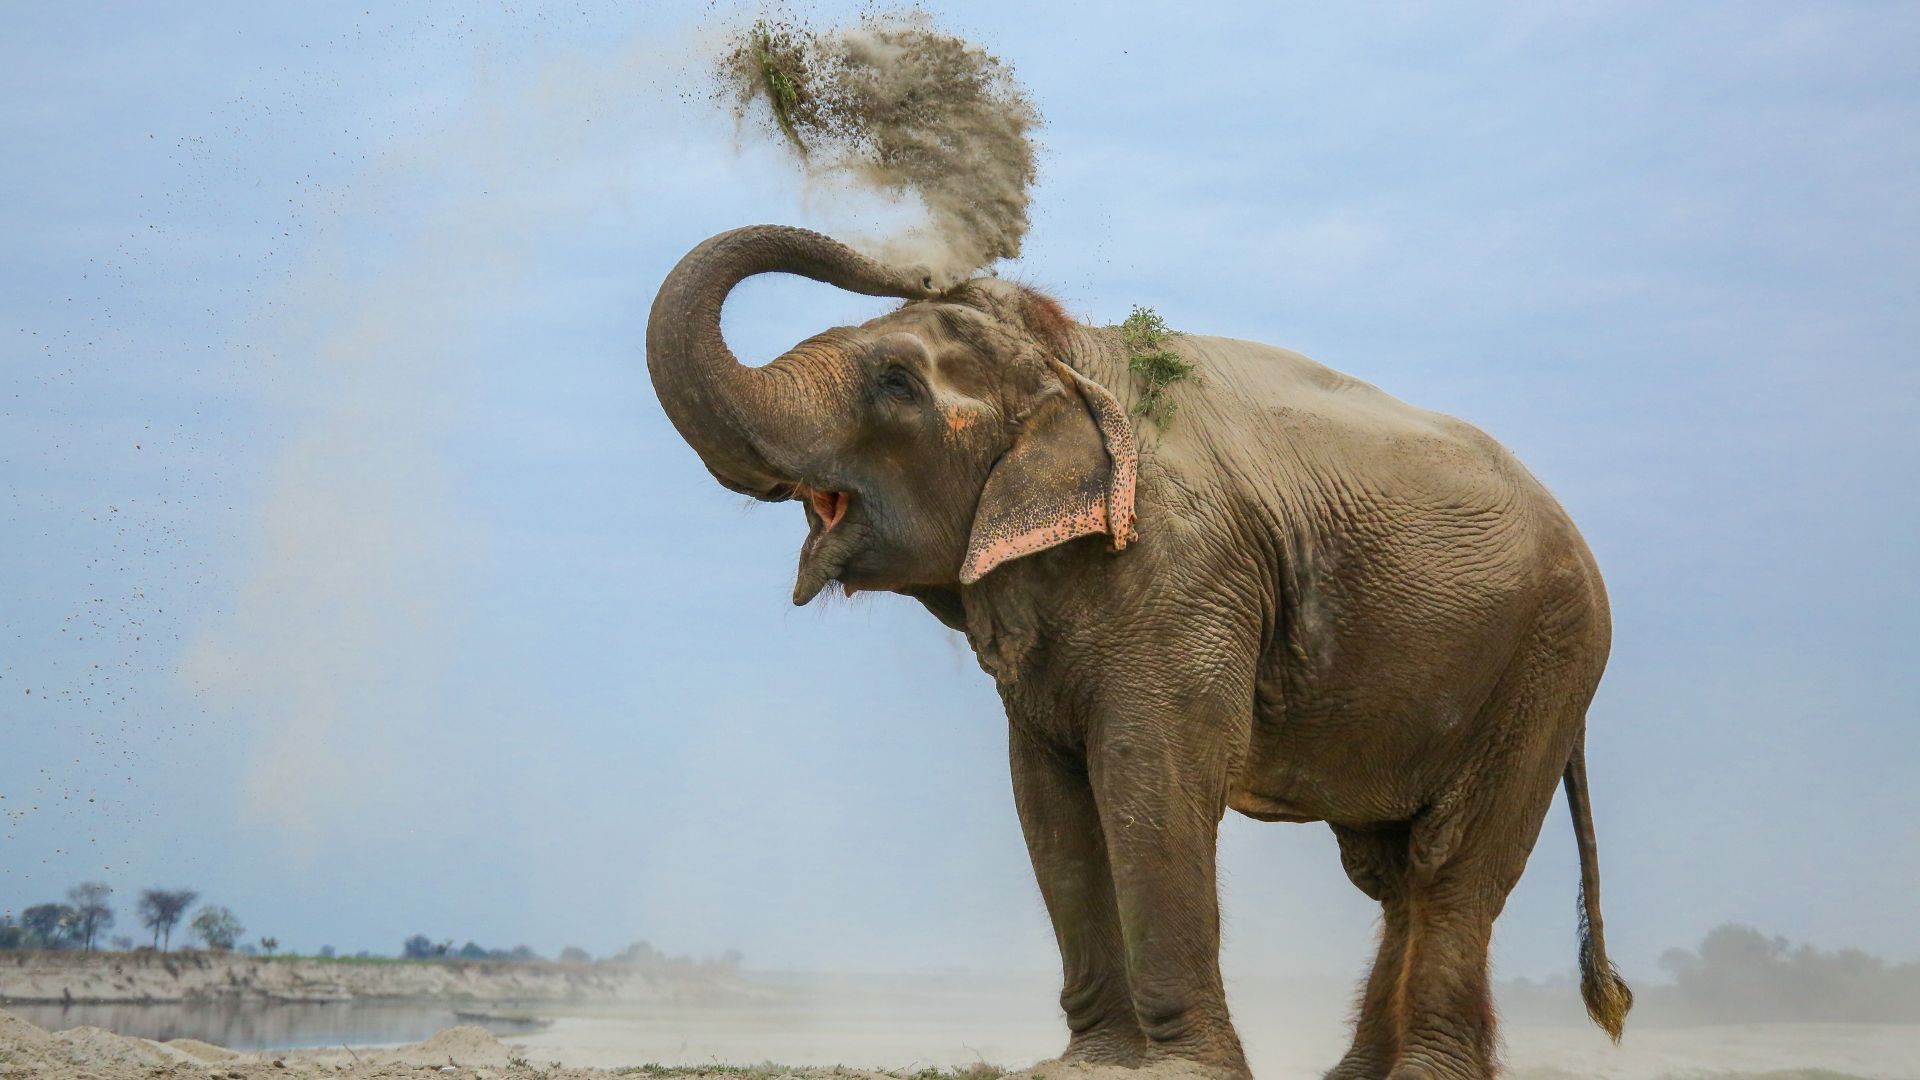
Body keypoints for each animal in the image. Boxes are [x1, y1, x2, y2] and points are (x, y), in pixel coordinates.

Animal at [645, 224, 1633, 1080]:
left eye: (894, 383)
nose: (930, 267)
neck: (1071, 361)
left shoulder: (1185, 576)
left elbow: (1145, 776)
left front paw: (1180, 1070)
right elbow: (1049, 800)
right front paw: (1083, 1067)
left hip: (1546, 664)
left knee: (1450, 867)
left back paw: (1424, 1071)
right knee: (1387, 874)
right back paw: (1354, 1075)